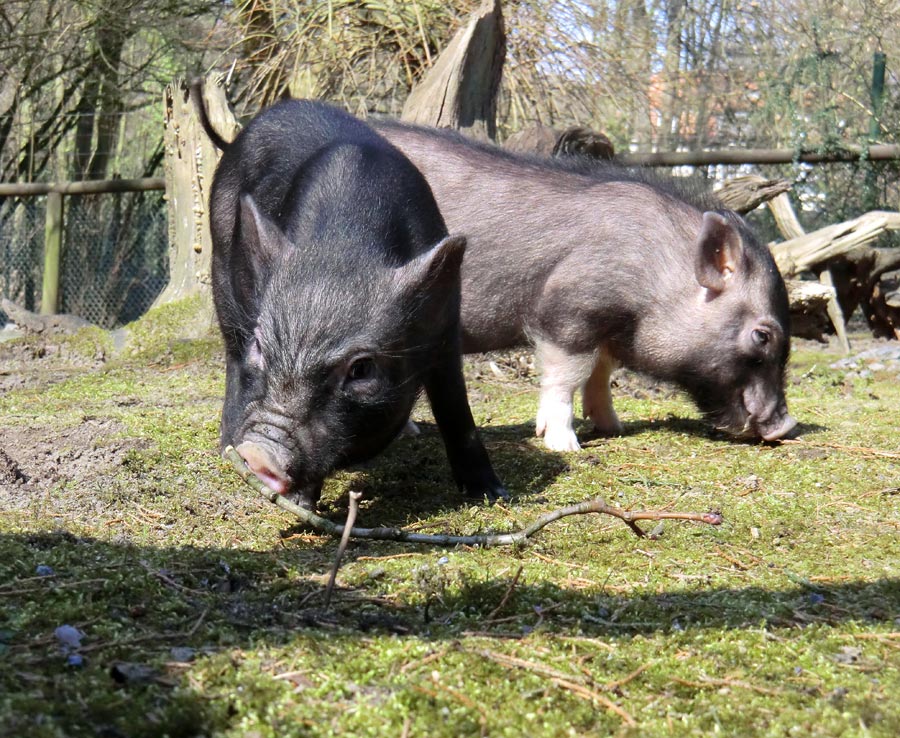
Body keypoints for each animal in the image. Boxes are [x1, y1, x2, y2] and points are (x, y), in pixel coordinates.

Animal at [194, 87, 506, 506]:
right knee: (230, 350)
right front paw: (299, 504)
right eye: (261, 348)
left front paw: (492, 493)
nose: (259, 453)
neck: (346, 248)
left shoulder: (446, 325)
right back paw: (225, 444)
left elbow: (455, 402)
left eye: (362, 369)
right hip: (220, 263)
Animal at [376, 121, 800, 448]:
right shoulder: (568, 311)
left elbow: (602, 371)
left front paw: (613, 428)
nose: (788, 427)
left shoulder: (607, 327)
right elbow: (569, 375)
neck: (653, 275)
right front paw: (565, 445)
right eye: (762, 335)